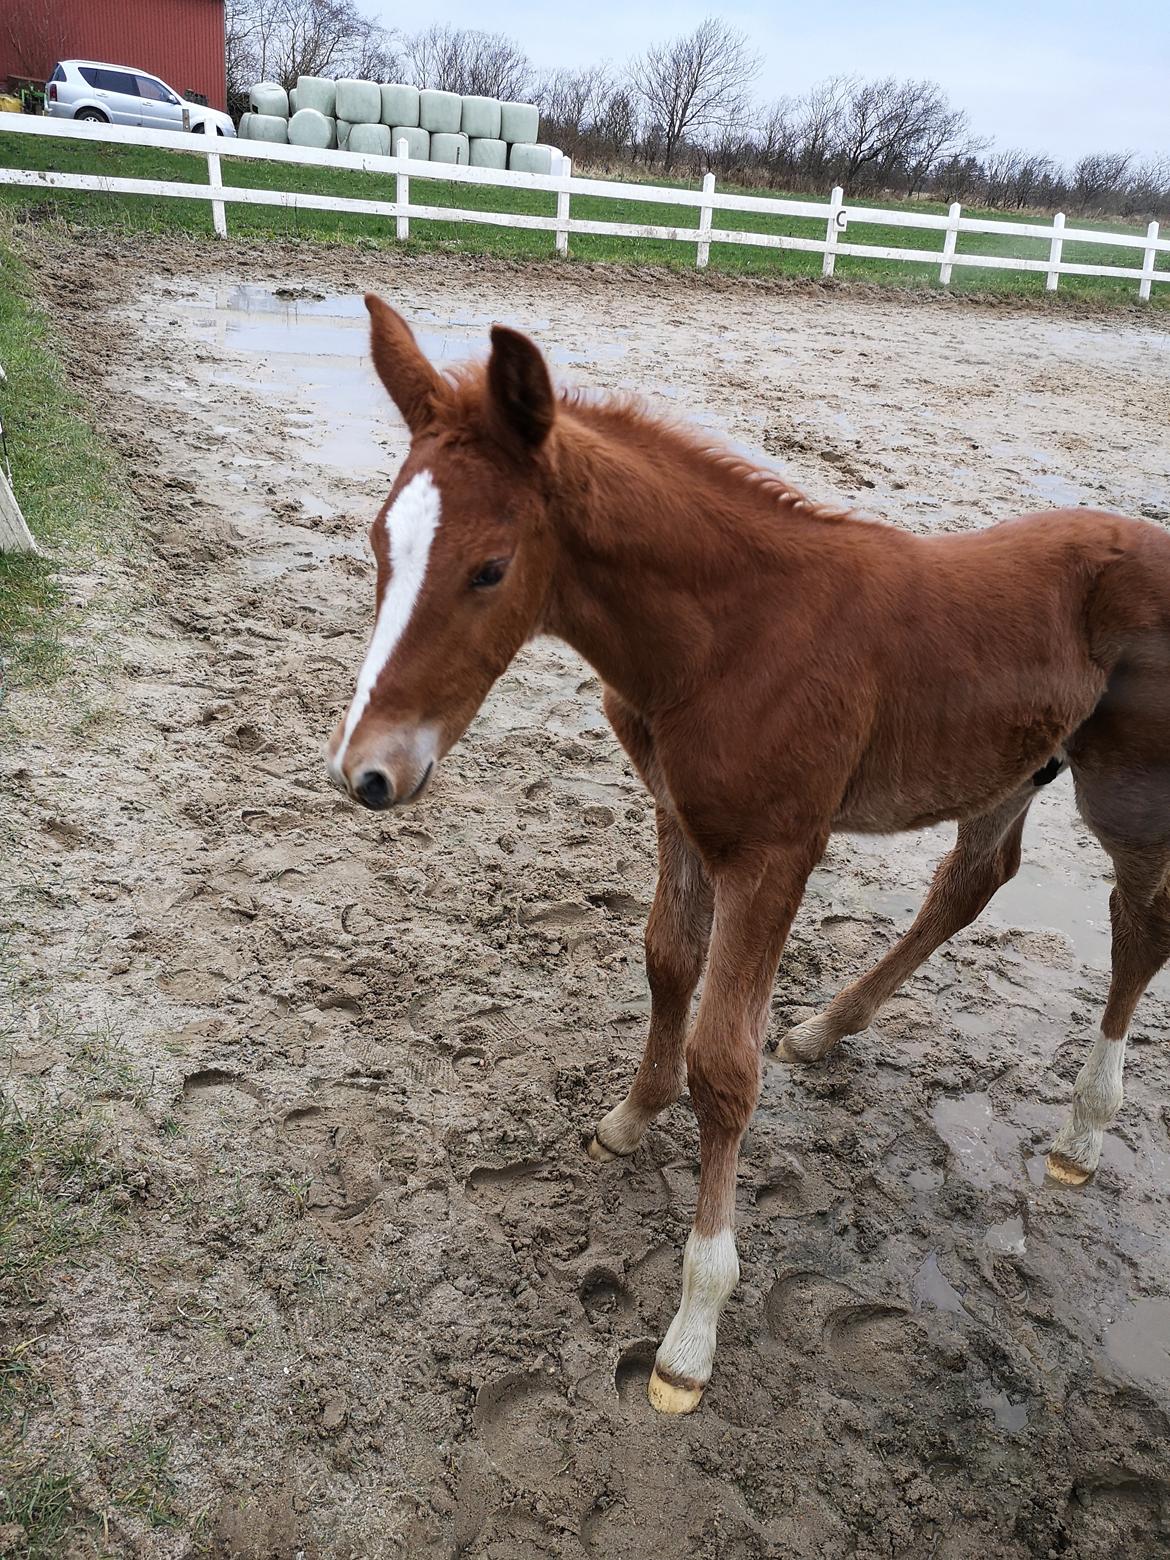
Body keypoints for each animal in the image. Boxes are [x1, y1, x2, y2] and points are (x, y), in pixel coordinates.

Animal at [327, 294, 1170, 1416]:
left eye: (490, 567)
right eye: (381, 541)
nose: (367, 774)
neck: (730, 639)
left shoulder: (776, 853)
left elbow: (725, 1066)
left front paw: (692, 1333)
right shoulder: (681, 818)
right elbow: (664, 963)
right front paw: (632, 1116)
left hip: (1129, 786)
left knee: (1139, 924)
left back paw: (1082, 1131)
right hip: (1010, 765)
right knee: (970, 882)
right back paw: (826, 1028)